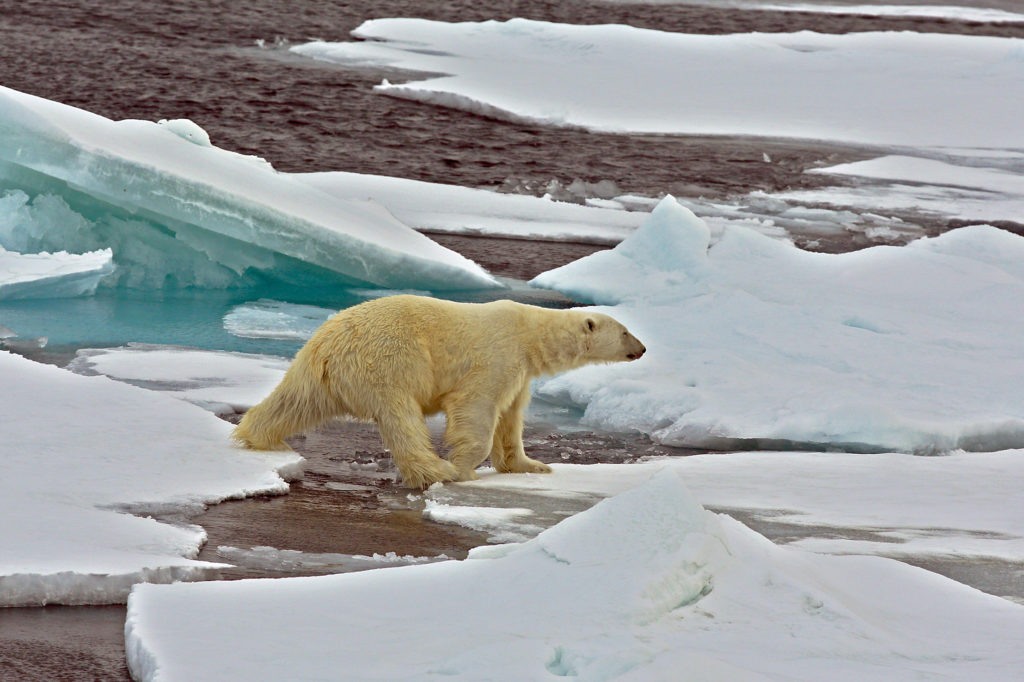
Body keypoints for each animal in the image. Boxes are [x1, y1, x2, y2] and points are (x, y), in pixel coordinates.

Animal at [235, 294, 643, 485]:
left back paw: (257, 437)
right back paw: (437, 469)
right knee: (402, 419)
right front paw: (464, 468)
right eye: (625, 331)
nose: (641, 349)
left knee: (293, 401)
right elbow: (477, 409)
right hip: (388, 363)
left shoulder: (520, 373)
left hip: (317, 372)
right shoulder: (496, 358)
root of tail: (328, 343)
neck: (529, 334)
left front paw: (533, 466)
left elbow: (511, 420)